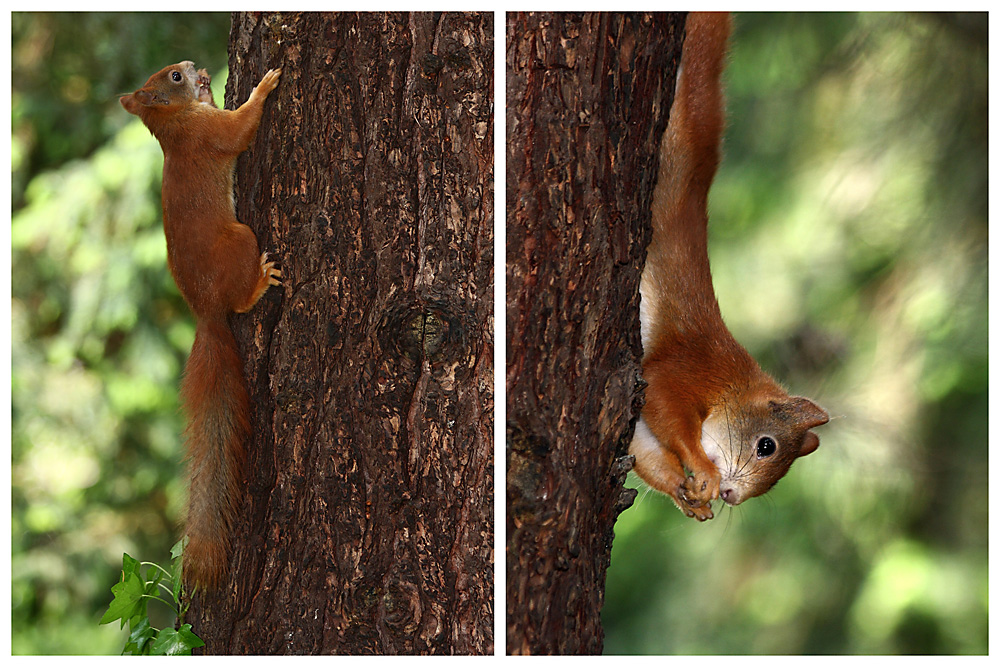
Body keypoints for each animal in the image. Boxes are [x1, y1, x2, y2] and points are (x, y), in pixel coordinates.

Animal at [124, 61, 286, 584]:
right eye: (173, 77)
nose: (194, 67)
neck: (175, 126)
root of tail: (207, 312)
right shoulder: (210, 134)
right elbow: (240, 129)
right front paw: (263, 87)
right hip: (243, 239)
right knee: (241, 303)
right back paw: (259, 284)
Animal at [632, 11, 828, 520]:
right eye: (766, 446)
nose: (732, 496)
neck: (733, 383)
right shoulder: (686, 367)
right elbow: (666, 406)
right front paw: (702, 469)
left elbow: (647, 451)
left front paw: (688, 493)